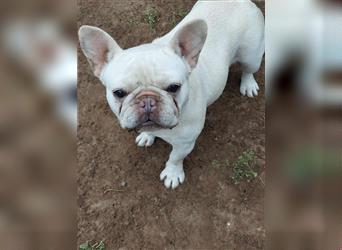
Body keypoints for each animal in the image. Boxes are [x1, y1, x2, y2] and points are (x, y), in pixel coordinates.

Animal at [78, 0, 264, 188]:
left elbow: (175, 158)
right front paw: (147, 136)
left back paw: (248, 84)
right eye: (119, 93)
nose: (147, 100)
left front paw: (172, 173)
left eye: (174, 87)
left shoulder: (185, 144)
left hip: (251, 56)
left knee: (248, 69)